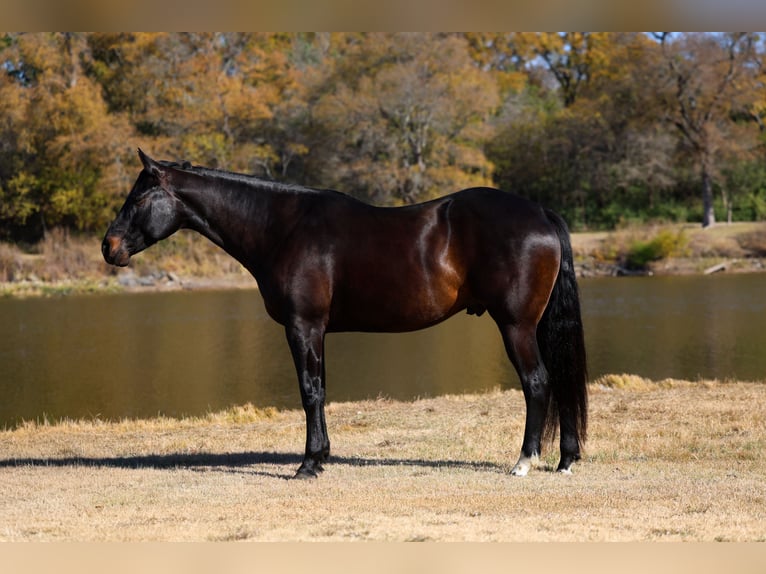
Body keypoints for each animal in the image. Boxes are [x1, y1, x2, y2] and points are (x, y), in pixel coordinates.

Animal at [102, 149, 588, 479]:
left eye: (139, 197)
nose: (109, 247)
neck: (283, 228)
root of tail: (540, 212)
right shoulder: (316, 331)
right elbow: (320, 389)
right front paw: (322, 457)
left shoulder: (303, 326)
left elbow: (309, 391)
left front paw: (308, 465)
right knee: (560, 381)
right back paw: (565, 459)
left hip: (516, 326)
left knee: (537, 383)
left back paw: (524, 462)